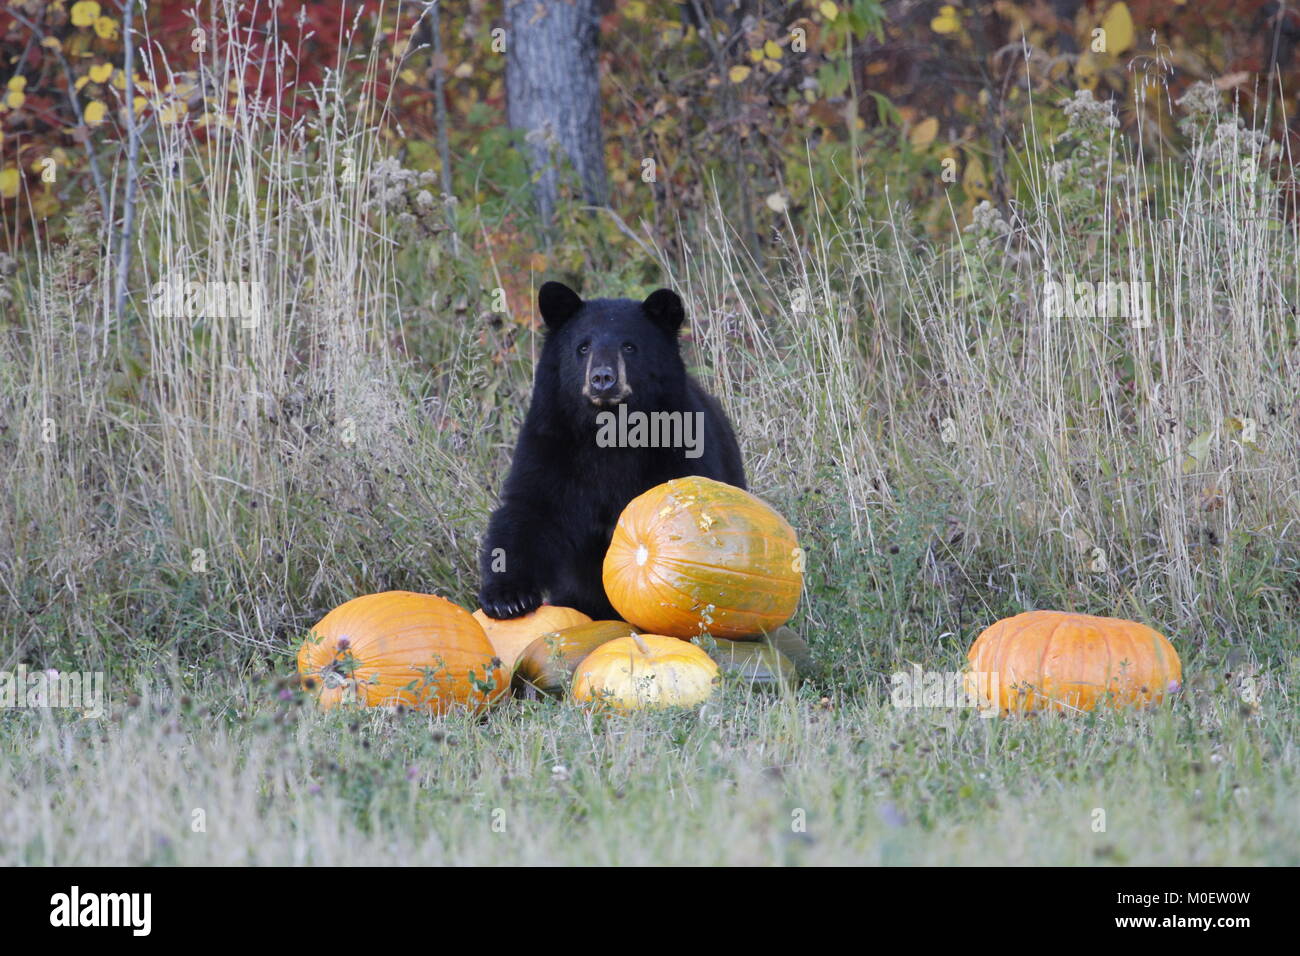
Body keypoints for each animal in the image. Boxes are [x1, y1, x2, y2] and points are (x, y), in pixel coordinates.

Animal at [478, 278, 743, 621]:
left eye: (629, 346)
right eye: (583, 347)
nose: (603, 378)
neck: (611, 433)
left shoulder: (679, 445)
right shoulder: (550, 442)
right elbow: (529, 509)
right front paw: (508, 598)